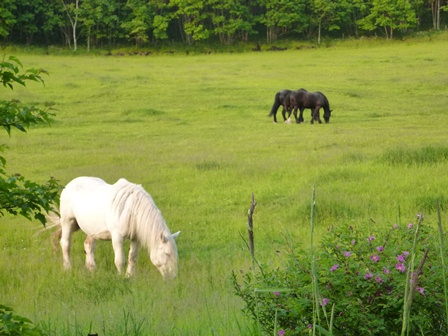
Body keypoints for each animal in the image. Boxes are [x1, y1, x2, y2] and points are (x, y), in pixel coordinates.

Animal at [50, 177, 180, 280]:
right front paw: (120, 277)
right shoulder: (117, 237)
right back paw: (68, 267)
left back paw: (92, 268)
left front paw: (129, 276)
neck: (132, 209)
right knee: (65, 244)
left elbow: (132, 258)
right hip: (68, 222)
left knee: (88, 245)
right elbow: (120, 260)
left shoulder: (135, 238)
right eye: (167, 253)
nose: (173, 277)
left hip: (90, 229)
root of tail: (69, 184)